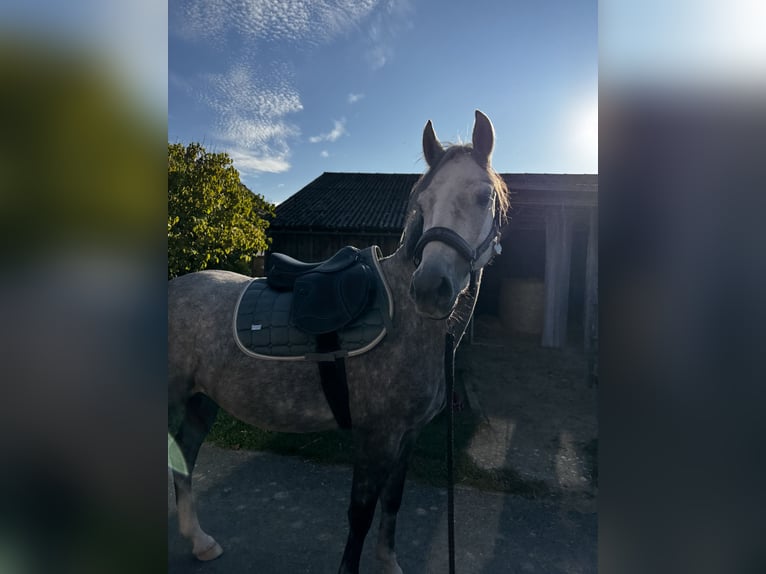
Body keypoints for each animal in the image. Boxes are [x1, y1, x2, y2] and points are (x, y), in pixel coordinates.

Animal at [168, 110, 510, 574]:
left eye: (483, 196)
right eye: (422, 203)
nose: (430, 288)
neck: (404, 317)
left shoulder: (408, 436)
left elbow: (393, 500)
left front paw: (389, 563)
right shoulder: (375, 435)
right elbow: (360, 513)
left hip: (202, 401)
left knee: (183, 458)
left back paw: (200, 540)